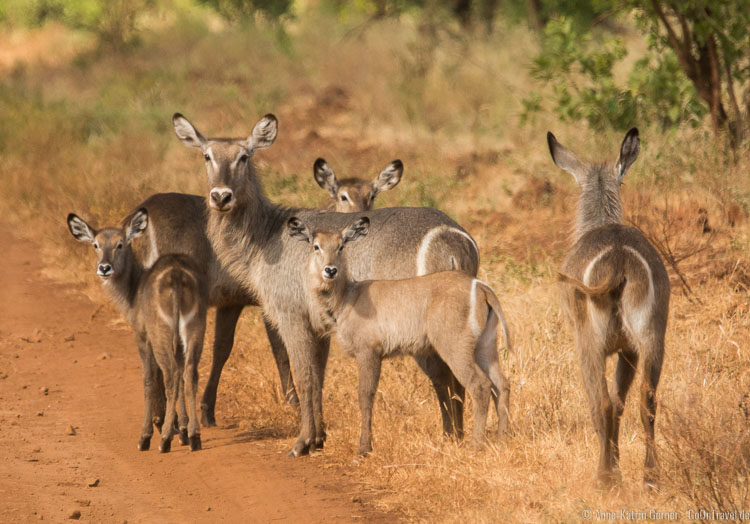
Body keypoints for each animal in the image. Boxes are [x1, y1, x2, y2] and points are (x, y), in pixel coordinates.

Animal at [67, 209, 209, 450]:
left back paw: (164, 440)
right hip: (195, 328)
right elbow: (182, 374)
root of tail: (177, 275)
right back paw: (195, 437)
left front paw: (147, 436)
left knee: (171, 374)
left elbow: (148, 378)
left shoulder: (142, 336)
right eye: (96, 244)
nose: (104, 268)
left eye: (120, 244)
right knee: (189, 372)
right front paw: (183, 430)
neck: (134, 289)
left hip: (161, 333)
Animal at [173, 112, 478, 456]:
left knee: (445, 375)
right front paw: (318, 439)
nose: (221, 196)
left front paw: (301, 443)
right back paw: (455, 437)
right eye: (206, 155)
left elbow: (305, 377)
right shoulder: (320, 326)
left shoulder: (291, 316)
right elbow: (319, 377)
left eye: (244, 156)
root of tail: (451, 239)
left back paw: (452, 438)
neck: (266, 236)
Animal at [288, 217, 512, 454]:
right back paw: (503, 437)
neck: (347, 298)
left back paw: (476, 444)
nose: (330, 270)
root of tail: (480, 287)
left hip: (455, 347)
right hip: (485, 346)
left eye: (341, 246)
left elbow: (365, 395)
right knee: (502, 384)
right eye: (316, 246)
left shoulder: (368, 352)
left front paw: (364, 448)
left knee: (480, 385)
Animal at [548, 127, 672, 488]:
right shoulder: (627, 349)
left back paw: (604, 477)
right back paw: (650, 476)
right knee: (646, 398)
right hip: (651, 338)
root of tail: (618, 259)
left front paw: (612, 468)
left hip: (589, 344)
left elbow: (604, 404)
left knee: (599, 402)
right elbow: (622, 402)